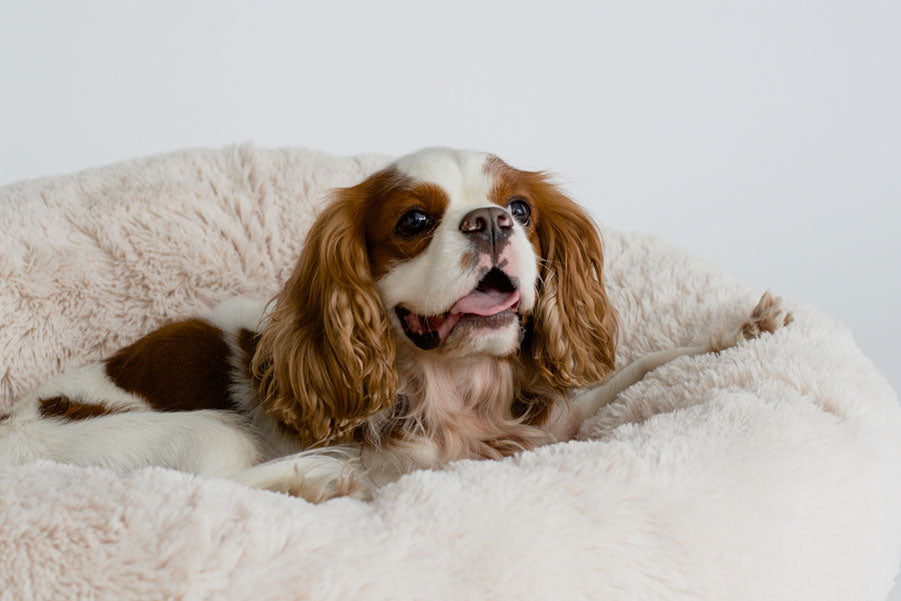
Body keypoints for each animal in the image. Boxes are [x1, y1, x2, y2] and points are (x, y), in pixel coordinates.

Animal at [0, 148, 788, 500]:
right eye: (413, 222)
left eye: (521, 208)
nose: (490, 221)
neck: (460, 384)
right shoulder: (421, 464)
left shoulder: (553, 418)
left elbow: (641, 366)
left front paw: (739, 330)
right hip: (201, 431)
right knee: (220, 485)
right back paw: (317, 475)